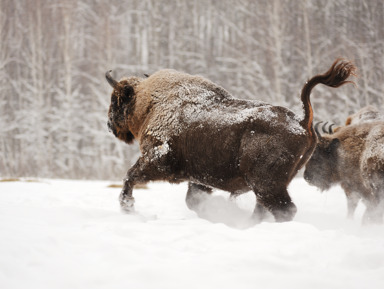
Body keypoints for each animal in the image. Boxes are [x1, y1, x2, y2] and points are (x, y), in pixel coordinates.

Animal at [106, 58, 356, 220]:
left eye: (116, 100)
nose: (109, 124)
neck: (150, 104)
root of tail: (302, 121)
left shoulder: (157, 160)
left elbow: (130, 176)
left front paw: (127, 207)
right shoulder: (199, 179)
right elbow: (192, 200)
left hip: (266, 185)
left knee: (283, 209)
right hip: (270, 186)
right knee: (265, 209)